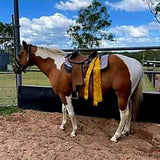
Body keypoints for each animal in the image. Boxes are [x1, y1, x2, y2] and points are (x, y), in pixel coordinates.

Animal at [14, 41, 142, 142]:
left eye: (20, 54)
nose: (15, 69)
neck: (56, 66)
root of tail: (136, 63)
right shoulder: (62, 94)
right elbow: (63, 109)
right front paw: (63, 126)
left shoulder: (66, 94)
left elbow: (71, 112)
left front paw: (74, 131)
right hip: (128, 96)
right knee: (130, 112)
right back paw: (125, 131)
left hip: (122, 95)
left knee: (124, 114)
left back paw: (116, 136)